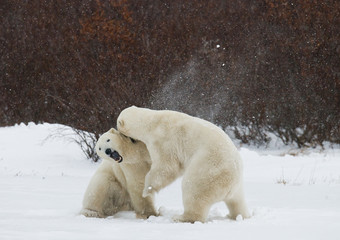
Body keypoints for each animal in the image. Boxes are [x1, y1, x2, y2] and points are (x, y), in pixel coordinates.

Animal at [118, 106, 251, 222]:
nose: (119, 132)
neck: (152, 122)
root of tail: (231, 182)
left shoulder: (163, 140)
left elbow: (166, 167)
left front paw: (147, 189)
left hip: (209, 169)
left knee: (193, 188)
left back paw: (182, 217)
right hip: (236, 184)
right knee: (237, 200)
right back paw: (238, 215)